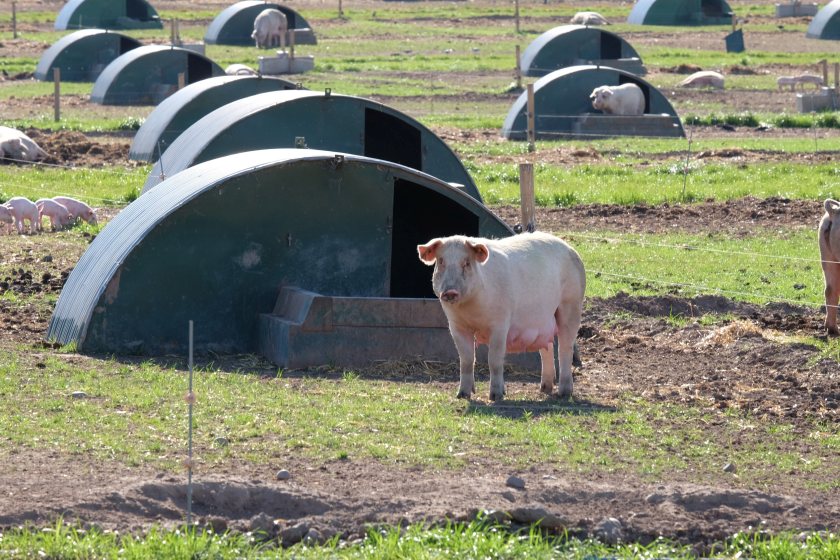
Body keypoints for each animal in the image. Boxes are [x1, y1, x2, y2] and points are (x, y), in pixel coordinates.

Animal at [417, 232, 586, 401]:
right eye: (441, 261)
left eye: (466, 262)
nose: (450, 291)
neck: (471, 310)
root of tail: (571, 249)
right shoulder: (456, 326)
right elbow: (466, 360)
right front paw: (462, 395)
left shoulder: (500, 323)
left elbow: (494, 359)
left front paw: (496, 396)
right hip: (544, 321)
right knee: (547, 348)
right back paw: (544, 389)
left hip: (571, 303)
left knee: (565, 348)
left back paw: (564, 393)